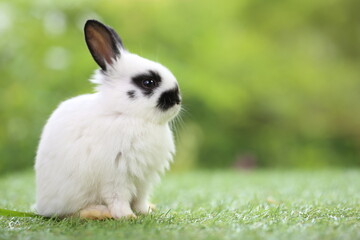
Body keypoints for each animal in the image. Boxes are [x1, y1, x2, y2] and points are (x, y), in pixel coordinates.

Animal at [34, 19, 181, 219]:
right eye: (148, 82)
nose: (178, 100)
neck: (127, 114)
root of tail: (42, 205)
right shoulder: (116, 176)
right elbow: (118, 198)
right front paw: (128, 217)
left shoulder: (143, 179)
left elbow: (140, 199)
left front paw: (145, 211)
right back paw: (98, 212)